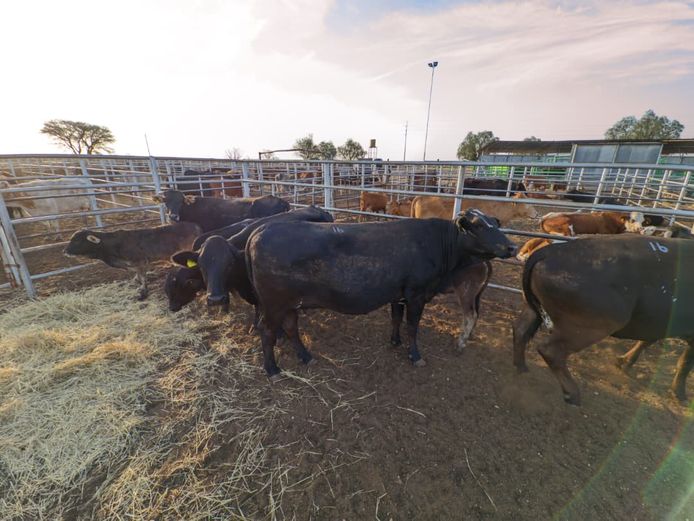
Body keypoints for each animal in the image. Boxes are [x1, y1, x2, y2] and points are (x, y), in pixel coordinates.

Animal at [65, 222, 201, 300]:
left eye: (77, 241)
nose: (65, 251)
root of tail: (195, 226)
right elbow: (137, 276)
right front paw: (134, 283)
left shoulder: (140, 262)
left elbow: (142, 277)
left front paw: (143, 292)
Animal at [244, 210, 517, 378]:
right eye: (478, 225)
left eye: (495, 223)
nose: (512, 246)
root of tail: (260, 230)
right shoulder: (417, 294)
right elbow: (412, 327)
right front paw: (414, 355)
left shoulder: (399, 293)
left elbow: (396, 318)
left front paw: (395, 341)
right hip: (274, 304)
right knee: (267, 331)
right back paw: (272, 370)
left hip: (290, 303)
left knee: (291, 327)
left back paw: (305, 356)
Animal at [513, 235, 694, 404]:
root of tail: (551, 251)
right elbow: (685, 362)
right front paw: (679, 394)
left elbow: (646, 341)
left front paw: (624, 362)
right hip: (592, 327)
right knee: (551, 350)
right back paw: (572, 394)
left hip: (533, 310)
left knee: (520, 331)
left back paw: (522, 368)